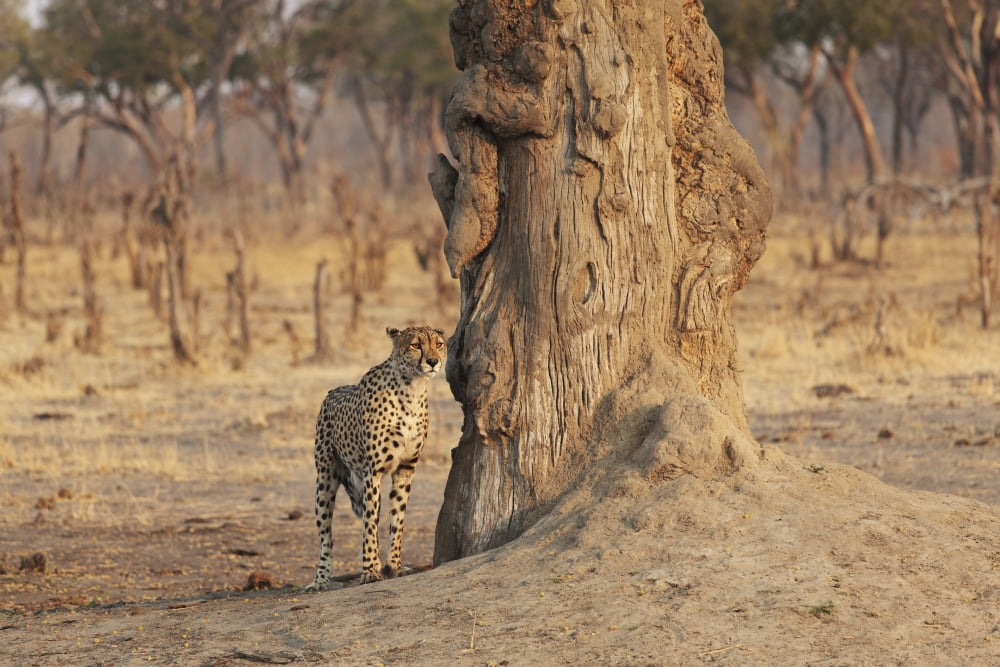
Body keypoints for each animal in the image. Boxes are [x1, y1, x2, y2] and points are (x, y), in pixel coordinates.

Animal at [304, 325, 447, 590]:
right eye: (415, 345)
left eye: (439, 344)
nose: (433, 361)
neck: (412, 389)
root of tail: (333, 390)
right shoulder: (373, 471)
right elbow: (369, 525)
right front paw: (370, 570)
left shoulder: (405, 469)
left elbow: (397, 519)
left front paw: (395, 566)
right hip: (324, 482)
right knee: (326, 538)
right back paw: (321, 579)